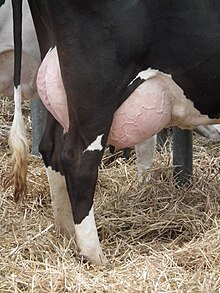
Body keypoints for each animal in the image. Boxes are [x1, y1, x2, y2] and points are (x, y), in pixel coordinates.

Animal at [2, 0, 220, 264]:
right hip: (96, 91)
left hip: (60, 83)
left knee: (50, 148)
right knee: (78, 162)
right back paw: (95, 256)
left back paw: (66, 235)